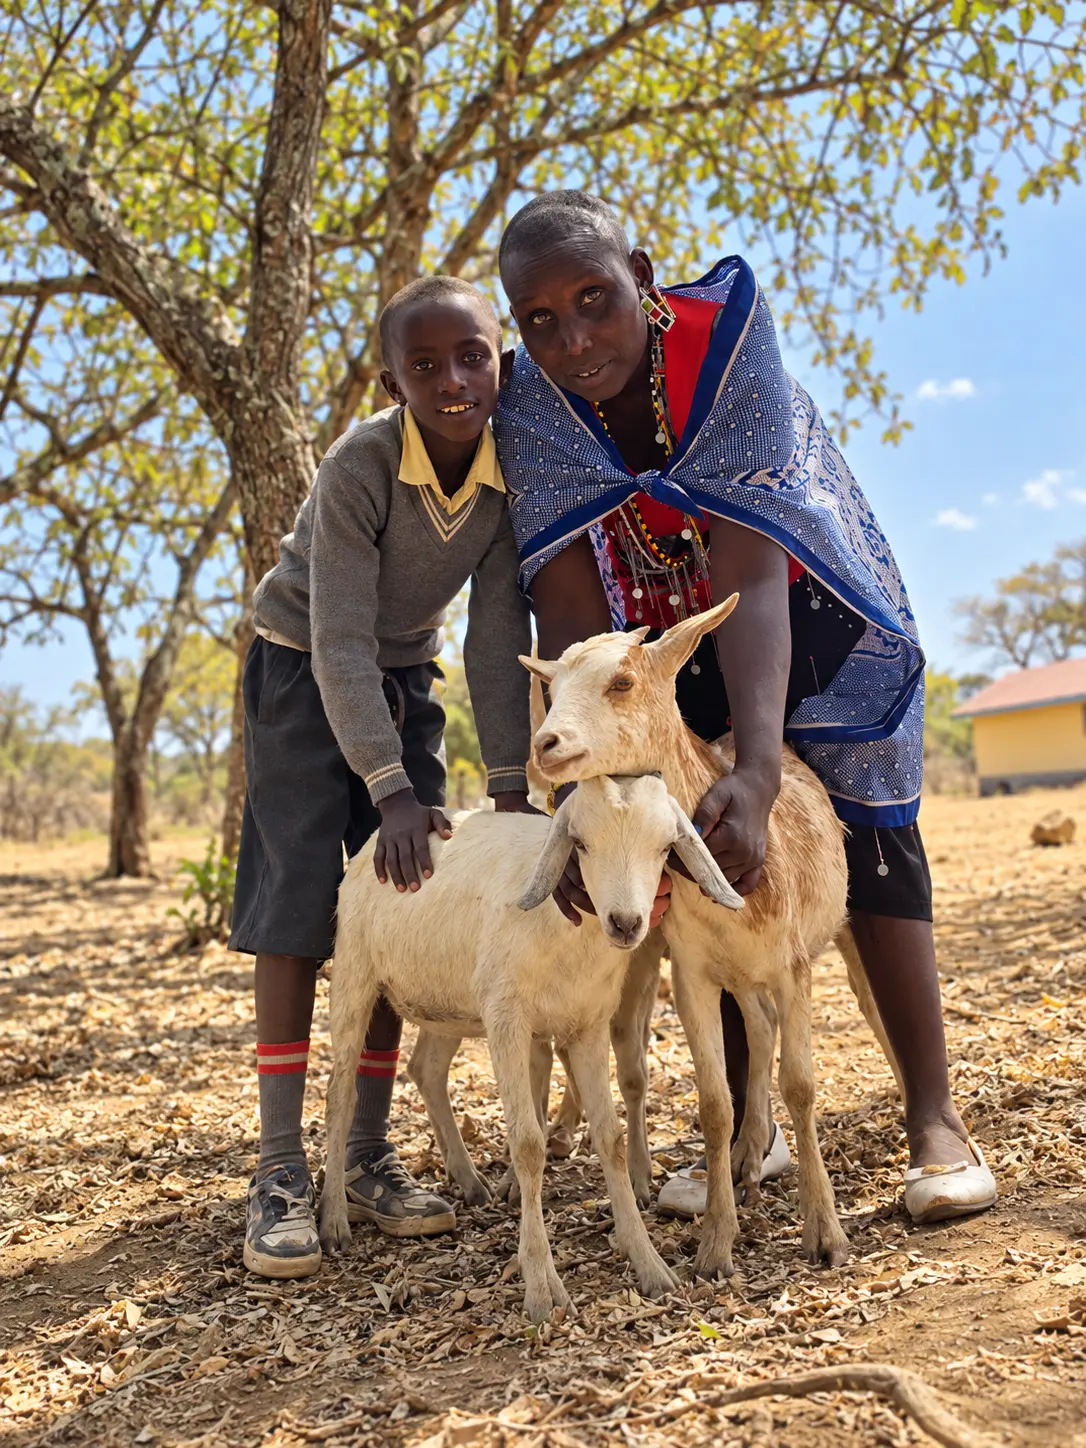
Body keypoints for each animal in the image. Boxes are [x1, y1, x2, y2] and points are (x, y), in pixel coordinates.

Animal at [320, 773, 741, 1320]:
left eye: (665, 847)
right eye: (580, 844)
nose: (626, 923)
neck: (565, 933)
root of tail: (370, 845)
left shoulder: (588, 1025)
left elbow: (609, 1138)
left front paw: (650, 1265)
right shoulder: (507, 1021)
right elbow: (527, 1144)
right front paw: (542, 1288)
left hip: (451, 1001)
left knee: (425, 1069)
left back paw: (469, 1181)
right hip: (355, 974)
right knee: (338, 1096)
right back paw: (332, 1220)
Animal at [524, 596, 863, 1277]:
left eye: (622, 681)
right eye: (553, 688)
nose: (546, 744)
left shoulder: (793, 966)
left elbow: (802, 1085)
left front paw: (826, 1234)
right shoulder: (693, 973)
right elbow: (713, 1101)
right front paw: (714, 1245)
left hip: (833, 932)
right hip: (732, 974)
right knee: (758, 1029)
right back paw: (748, 1155)